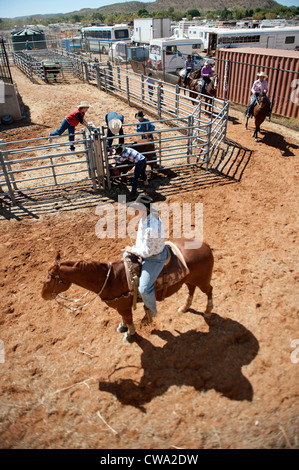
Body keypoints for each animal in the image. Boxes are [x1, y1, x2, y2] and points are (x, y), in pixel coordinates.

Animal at [42, 239, 214, 342]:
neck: (110, 279)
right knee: (191, 290)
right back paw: (184, 307)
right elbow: (123, 318)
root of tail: (206, 246)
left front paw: (130, 334)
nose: (43, 294)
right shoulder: (120, 306)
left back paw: (208, 311)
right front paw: (122, 327)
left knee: (209, 290)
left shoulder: (124, 306)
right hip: (190, 280)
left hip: (202, 280)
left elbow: (129, 318)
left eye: (50, 277)